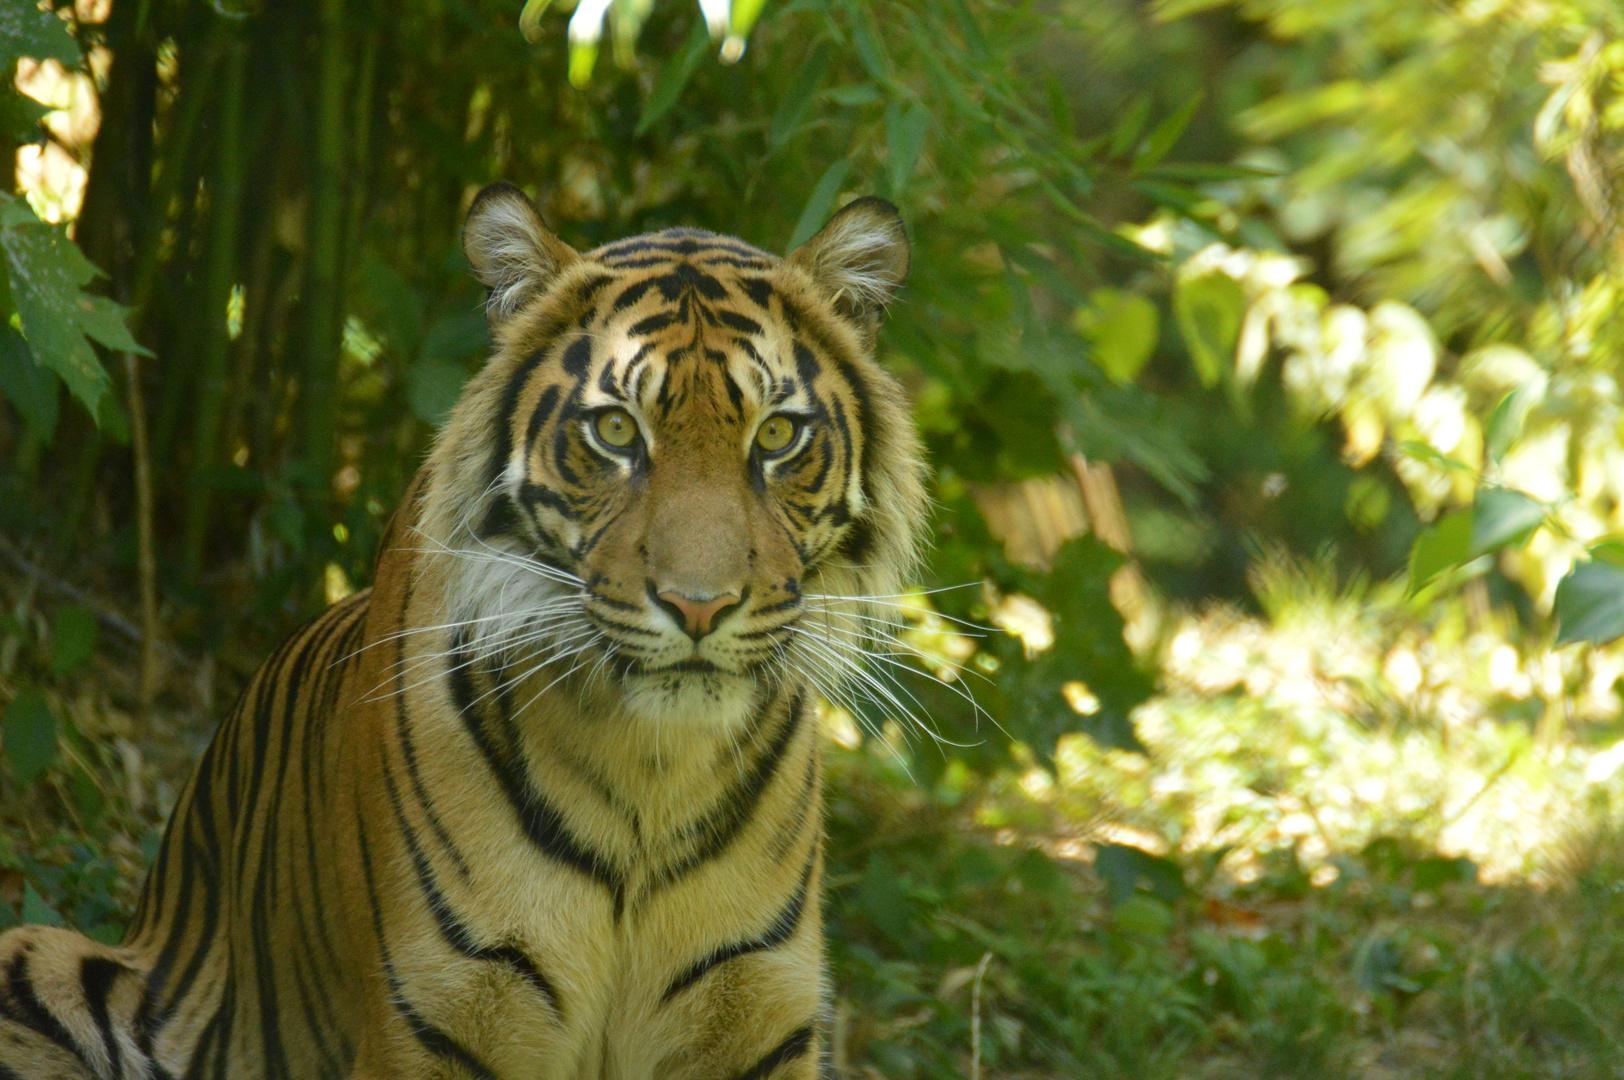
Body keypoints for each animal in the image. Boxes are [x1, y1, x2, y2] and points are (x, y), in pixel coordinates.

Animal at [0, 181, 928, 1071]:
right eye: (616, 430)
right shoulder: (437, 1016)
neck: (653, 773)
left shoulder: (759, 1019)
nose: (699, 605)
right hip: (35, 958)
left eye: (776, 436)